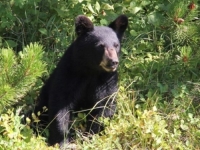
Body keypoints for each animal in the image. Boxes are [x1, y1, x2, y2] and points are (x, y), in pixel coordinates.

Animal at [33, 14, 128, 146]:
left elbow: (104, 105)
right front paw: (62, 141)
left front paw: (91, 136)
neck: (92, 71)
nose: (113, 62)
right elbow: (60, 104)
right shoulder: (70, 74)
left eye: (116, 45)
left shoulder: (107, 80)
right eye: (100, 46)